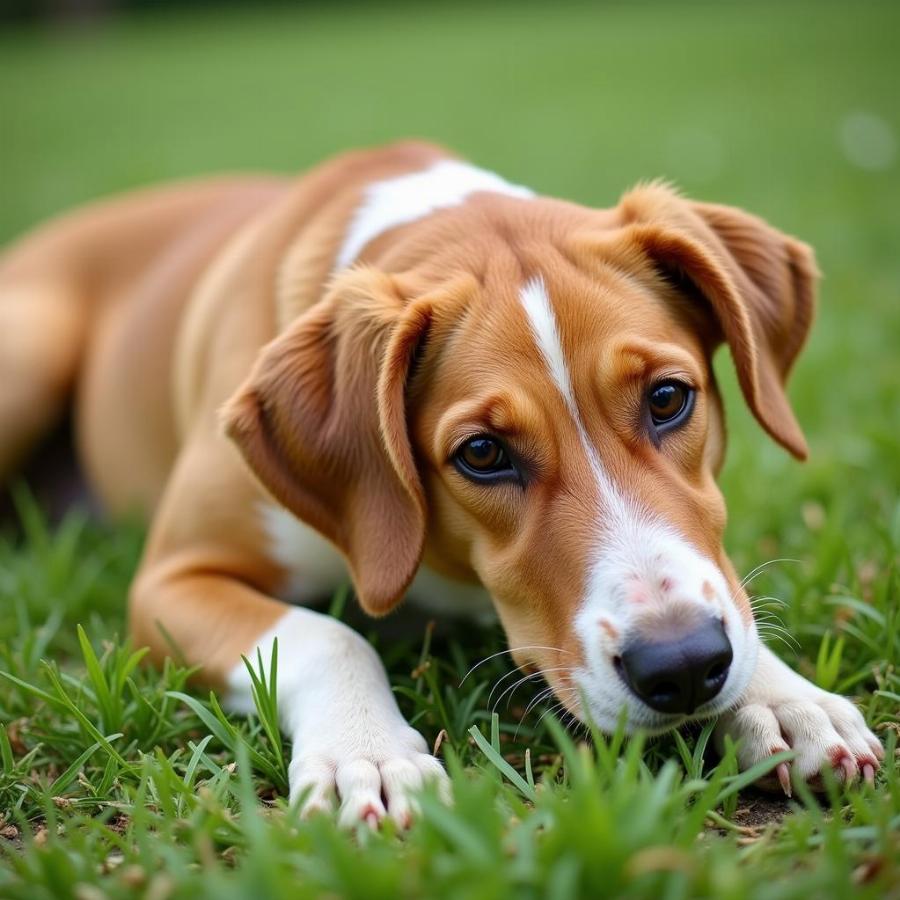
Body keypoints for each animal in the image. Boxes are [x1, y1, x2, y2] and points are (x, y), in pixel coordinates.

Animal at [0, 142, 884, 828]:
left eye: (668, 398)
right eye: (483, 453)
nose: (684, 666)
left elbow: (728, 594)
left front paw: (781, 696)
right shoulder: (170, 581)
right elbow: (332, 635)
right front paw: (366, 752)